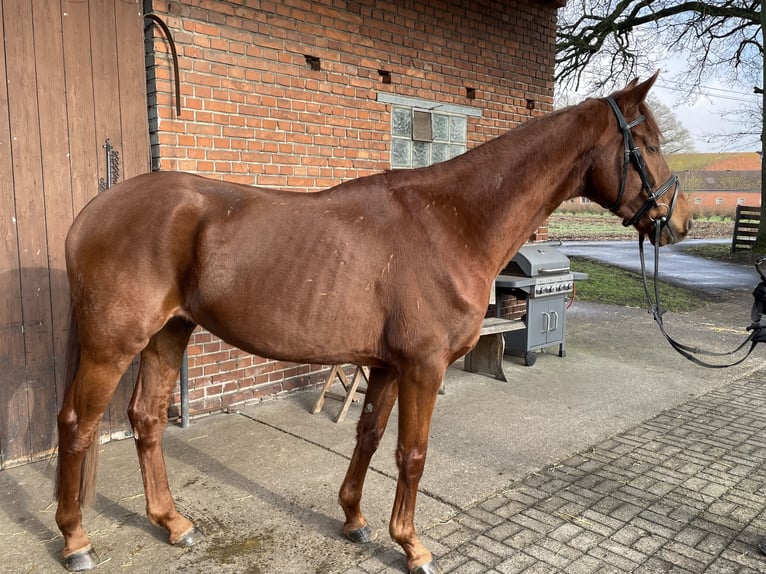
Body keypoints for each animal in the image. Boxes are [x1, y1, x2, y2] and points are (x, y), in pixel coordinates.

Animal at [55, 74, 696, 572]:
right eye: (648, 144)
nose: (681, 221)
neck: (450, 223)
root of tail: (92, 212)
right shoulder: (423, 367)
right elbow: (412, 454)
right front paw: (413, 546)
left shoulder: (386, 365)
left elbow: (368, 435)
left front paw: (355, 519)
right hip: (114, 344)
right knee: (77, 426)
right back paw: (75, 540)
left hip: (169, 334)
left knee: (147, 420)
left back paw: (172, 523)